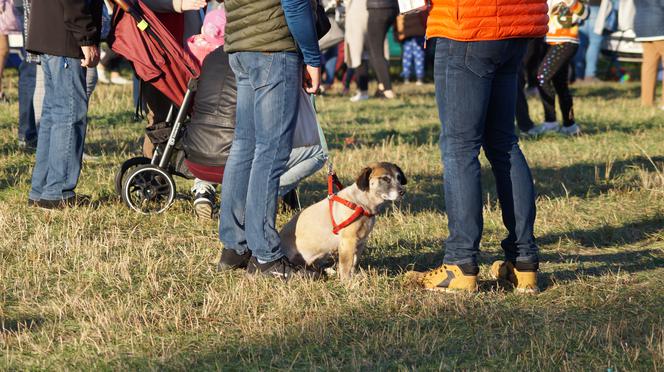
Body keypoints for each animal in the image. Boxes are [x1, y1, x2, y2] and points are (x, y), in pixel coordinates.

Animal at [278, 162, 408, 280]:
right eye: (385, 178)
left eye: (399, 177)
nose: (402, 192)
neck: (360, 204)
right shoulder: (348, 242)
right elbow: (346, 265)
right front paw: (347, 283)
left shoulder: (361, 242)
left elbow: (353, 263)